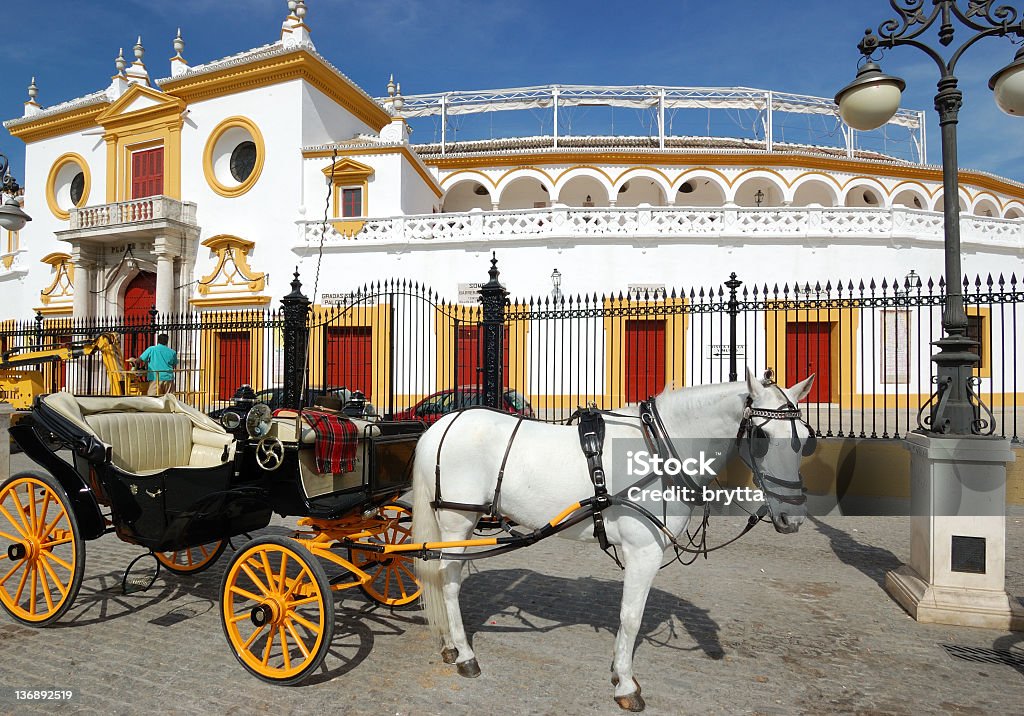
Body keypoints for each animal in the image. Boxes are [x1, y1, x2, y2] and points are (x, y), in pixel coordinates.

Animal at [409, 368, 815, 712]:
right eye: (761, 436)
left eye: (806, 440)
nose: (793, 517)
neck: (659, 451)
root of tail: (440, 425)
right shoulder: (643, 552)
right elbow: (631, 616)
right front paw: (626, 684)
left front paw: (618, 670)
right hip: (457, 521)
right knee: (449, 582)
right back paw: (464, 654)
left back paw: (450, 645)